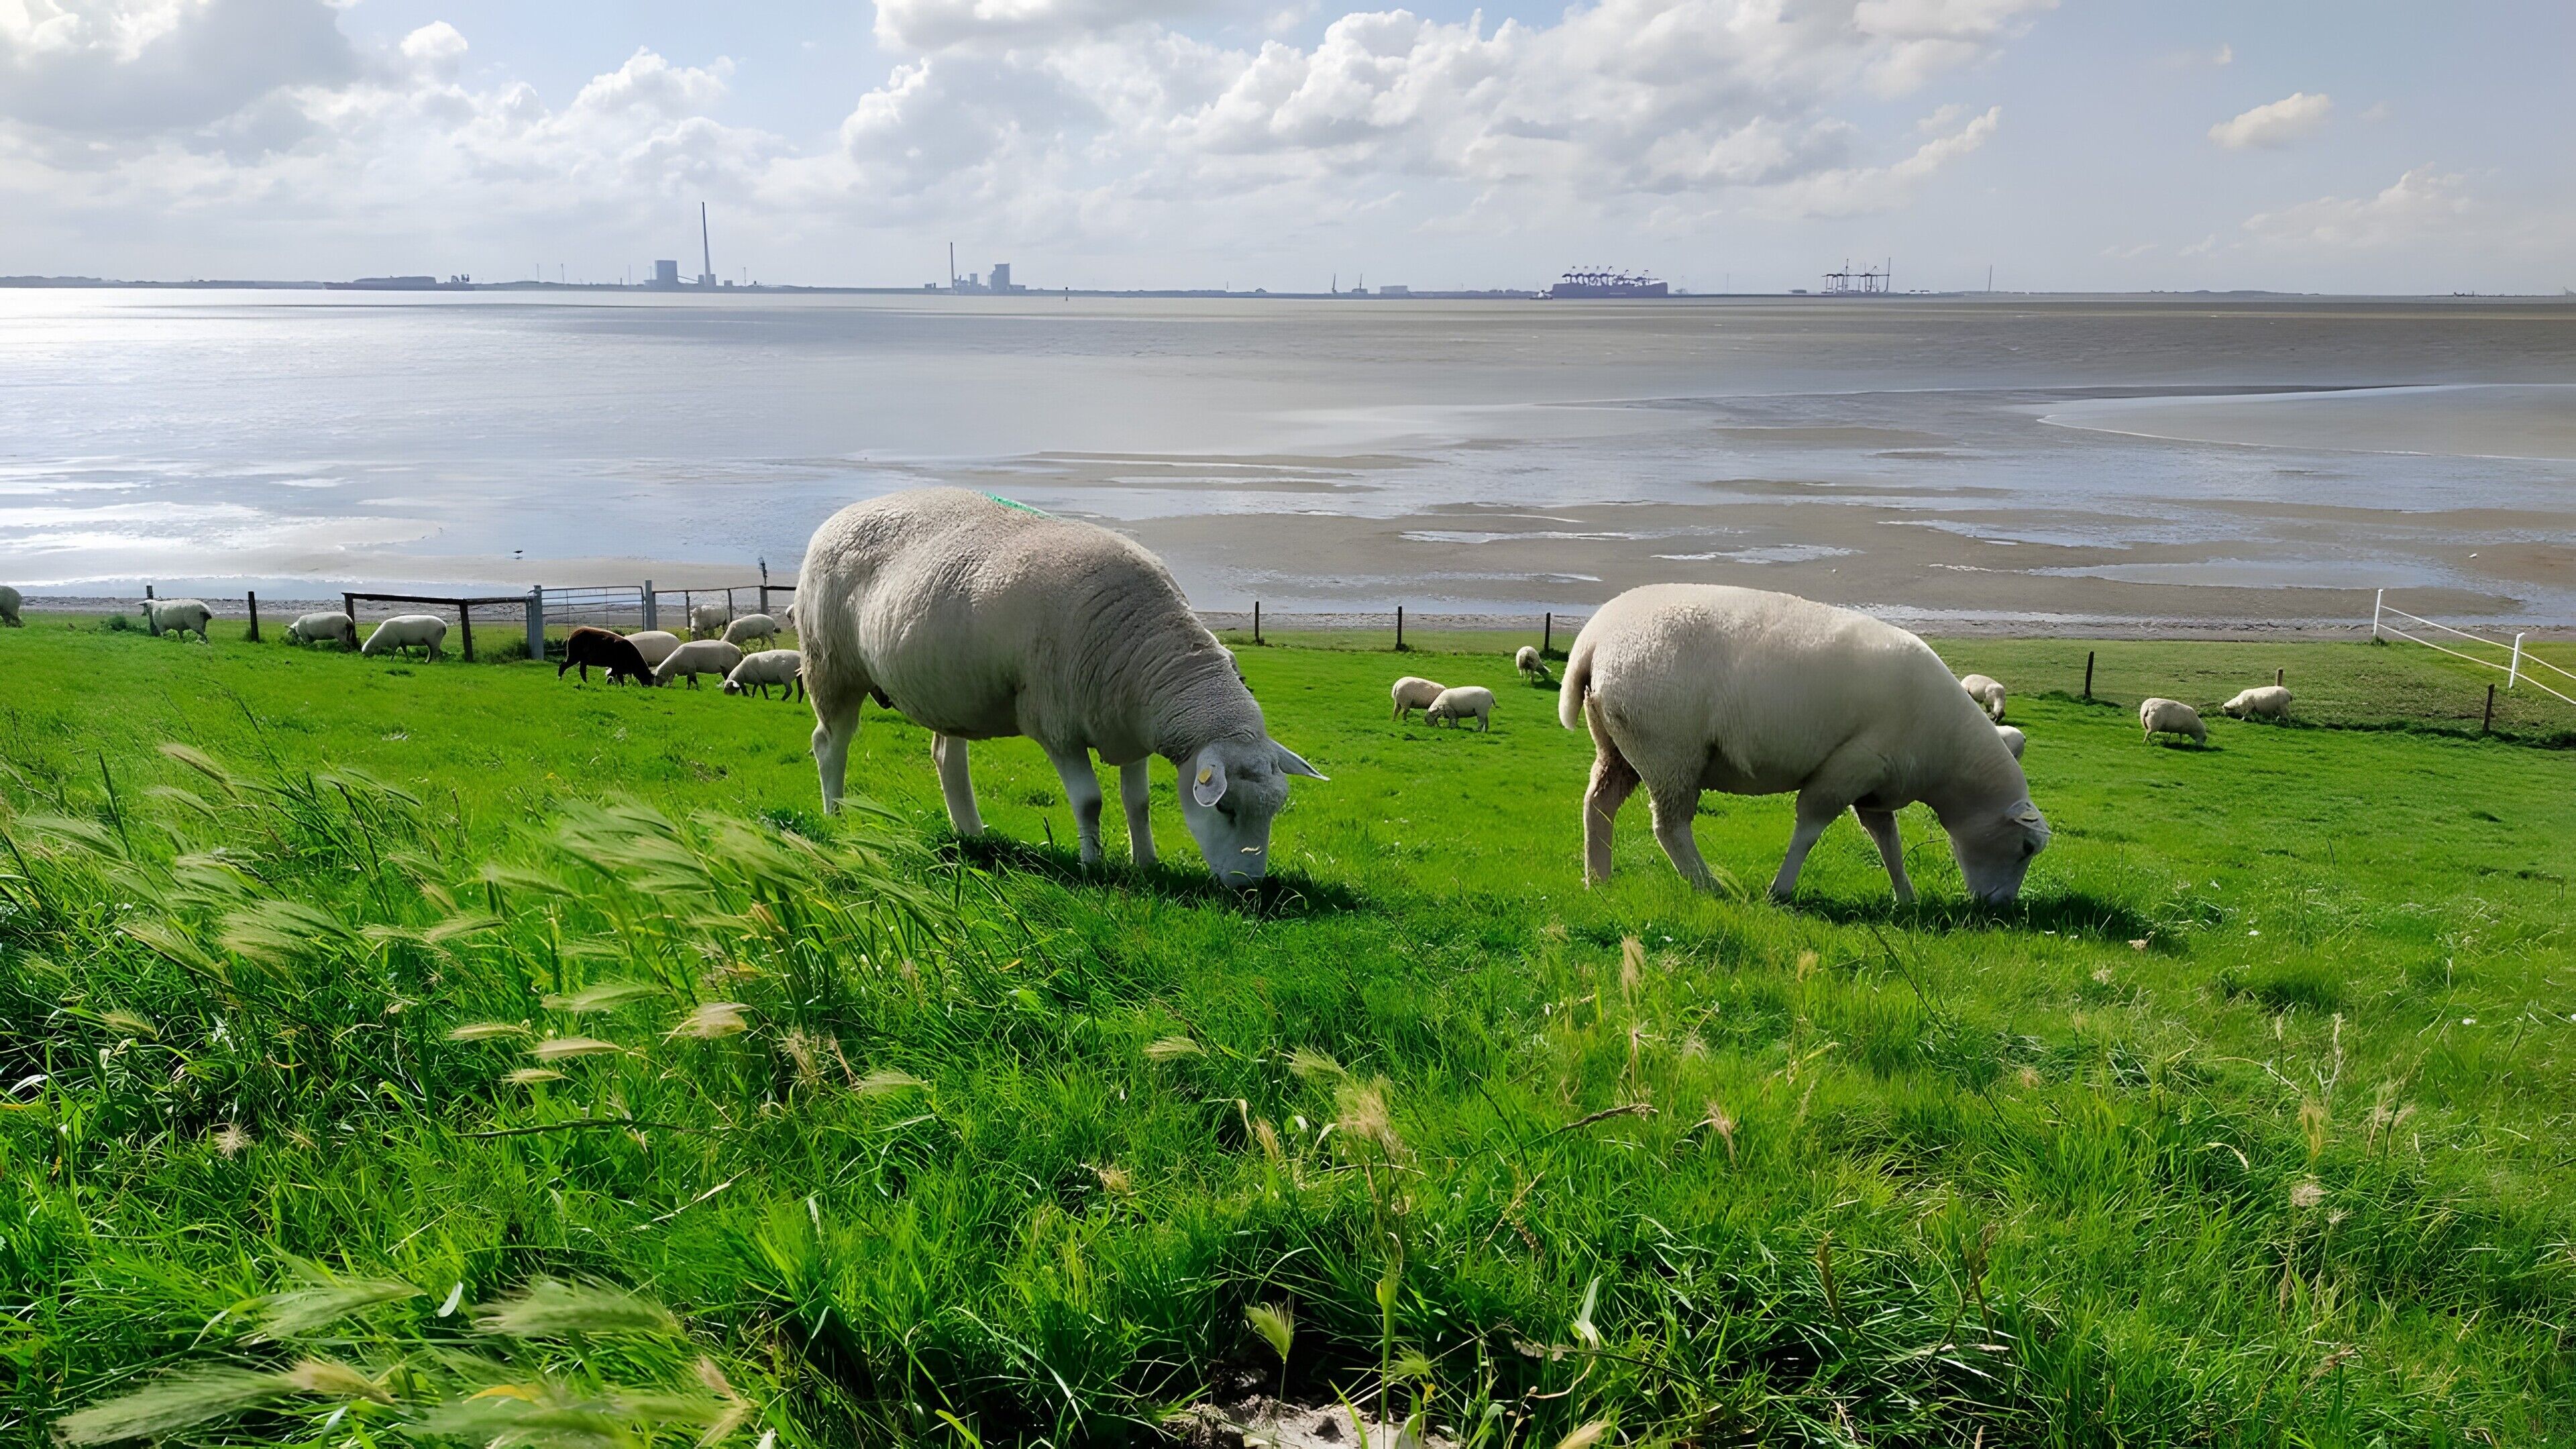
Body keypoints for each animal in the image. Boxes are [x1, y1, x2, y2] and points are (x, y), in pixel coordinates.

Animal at [361, 614, 448, 660]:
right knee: (439, 652)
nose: (365, 659)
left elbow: (393, 653)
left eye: (367, 651)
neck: (382, 639)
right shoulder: (402, 643)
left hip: (434, 640)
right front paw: (408, 660)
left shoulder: (395, 642)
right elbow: (405, 652)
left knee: (435, 652)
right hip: (434, 642)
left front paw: (391, 660)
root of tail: (444, 626)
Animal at [558, 626, 656, 685]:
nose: (649, 685)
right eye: (646, 675)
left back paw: (586, 683)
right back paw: (560, 679)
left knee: (582, 670)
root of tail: (572, 635)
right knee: (563, 665)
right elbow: (616, 676)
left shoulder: (619, 669)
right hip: (574, 655)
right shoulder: (617, 667)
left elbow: (619, 677)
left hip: (581, 659)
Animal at [653, 638, 743, 688]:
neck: (674, 665)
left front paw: (693, 689)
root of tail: (739, 652)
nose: (657, 686)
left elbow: (693, 680)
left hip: (730, 668)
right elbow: (689, 681)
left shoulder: (691, 669)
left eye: (657, 677)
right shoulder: (687, 671)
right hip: (724, 669)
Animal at [798, 487, 1324, 885]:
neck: (1145, 646)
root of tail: (841, 515)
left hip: (945, 686)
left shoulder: (1128, 729)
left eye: (1275, 810)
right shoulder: (1055, 726)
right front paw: (1093, 866)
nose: (1249, 887)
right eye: (1227, 810)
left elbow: (1138, 803)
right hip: (832, 666)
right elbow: (1090, 802)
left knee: (946, 757)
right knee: (829, 744)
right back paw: (836, 817)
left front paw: (1146, 863)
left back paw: (972, 834)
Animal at [1561, 584, 2049, 905]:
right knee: (1670, 827)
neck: (1949, 761)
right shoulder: (1850, 767)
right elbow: (1809, 829)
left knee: (1599, 803)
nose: (2000, 910)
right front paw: (1780, 891)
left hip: (1619, 745)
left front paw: (1907, 898)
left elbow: (1887, 843)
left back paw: (1598, 880)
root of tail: (1594, 639)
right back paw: (1709, 886)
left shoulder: (1875, 785)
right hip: (1669, 751)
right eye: (2026, 848)